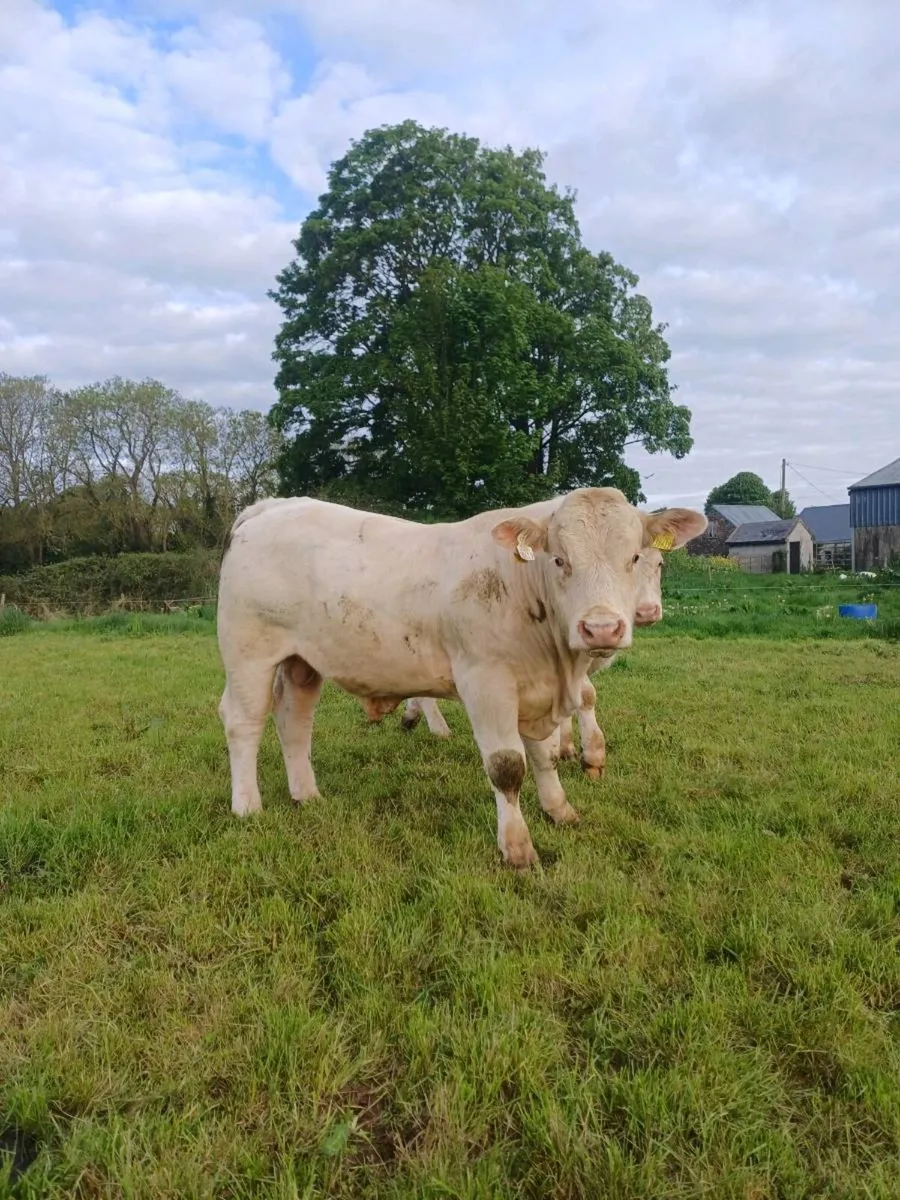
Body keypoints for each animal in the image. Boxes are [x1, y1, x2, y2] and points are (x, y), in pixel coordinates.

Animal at [396, 547, 666, 778]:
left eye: (660, 563)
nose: (647, 611)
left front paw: (565, 747)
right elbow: (587, 696)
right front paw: (589, 756)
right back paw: (438, 728)